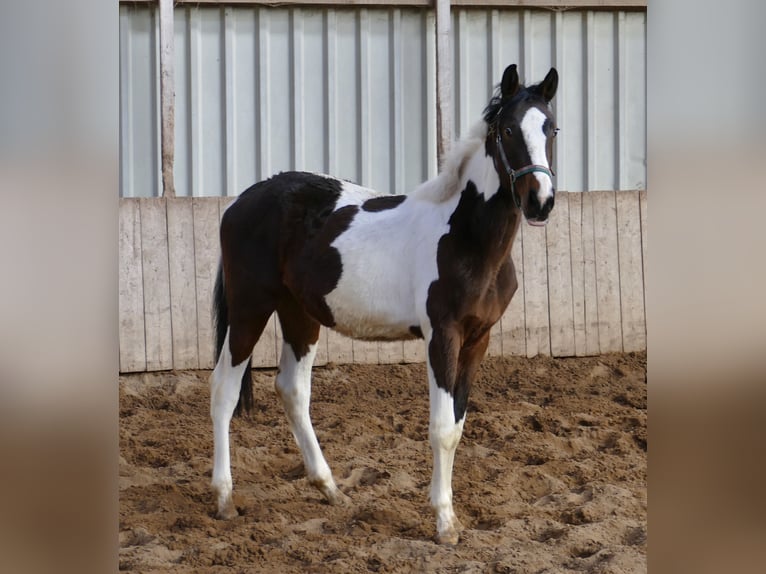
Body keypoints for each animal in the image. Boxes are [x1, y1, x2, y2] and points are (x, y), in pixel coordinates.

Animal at [208, 65, 560, 548]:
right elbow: (441, 429)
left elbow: (458, 425)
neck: (465, 238)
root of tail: (240, 202)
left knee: (292, 390)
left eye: (551, 128)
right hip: (249, 308)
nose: (540, 201)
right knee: (224, 388)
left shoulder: (478, 340)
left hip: (300, 314)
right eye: (507, 129)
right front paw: (444, 523)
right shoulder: (442, 337)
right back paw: (225, 499)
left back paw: (331, 489)